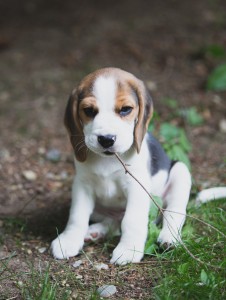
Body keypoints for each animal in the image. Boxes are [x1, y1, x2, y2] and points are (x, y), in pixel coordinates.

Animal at [50, 68, 191, 264]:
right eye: (89, 110)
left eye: (125, 110)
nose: (106, 139)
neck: (108, 160)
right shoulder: (82, 185)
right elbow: (77, 216)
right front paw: (68, 240)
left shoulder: (136, 187)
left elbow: (131, 220)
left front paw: (129, 249)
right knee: (114, 222)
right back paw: (95, 232)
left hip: (180, 171)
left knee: (174, 212)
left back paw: (169, 238)